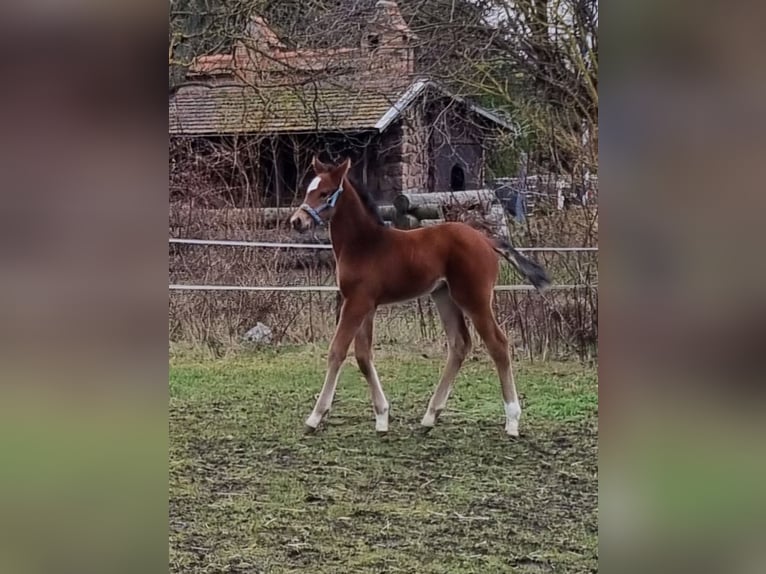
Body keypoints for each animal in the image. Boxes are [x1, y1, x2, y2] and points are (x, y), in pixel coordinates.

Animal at [290, 158, 552, 436]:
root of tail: (486, 239)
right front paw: (382, 416)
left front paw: (315, 416)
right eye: (309, 190)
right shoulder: (366, 305)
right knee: (459, 344)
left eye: (325, 193)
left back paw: (512, 420)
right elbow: (363, 356)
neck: (364, 244)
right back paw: (430, 415)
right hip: (443, 296)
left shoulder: (356, 303)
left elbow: (337, 351)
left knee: (498, 344)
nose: (297, 221)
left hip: (475, 299)